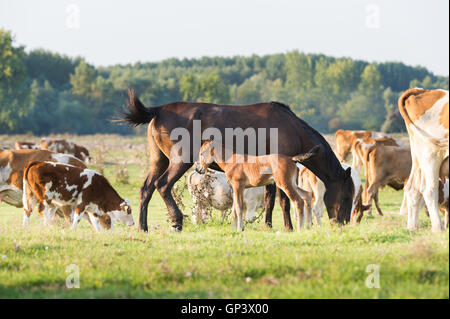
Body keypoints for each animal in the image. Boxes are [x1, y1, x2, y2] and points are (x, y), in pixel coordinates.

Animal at [121, 90, 354, 232]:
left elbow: (270, 200)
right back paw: (177, 222)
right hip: (180, 161)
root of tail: (157, 110)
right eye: (347, 195)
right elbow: (283, 200)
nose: (342, 223)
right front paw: (288, 227)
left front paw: (268, 226)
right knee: (162, 185)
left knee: (146, 189)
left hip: (158, 161)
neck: (292, 127)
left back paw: (143, 227)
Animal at [400, 88, 448, 232]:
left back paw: (412, 227)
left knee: (413, 188)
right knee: (429, 190)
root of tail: (421, 90)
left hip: (418, 156)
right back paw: (438, 228)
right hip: (432, 153)